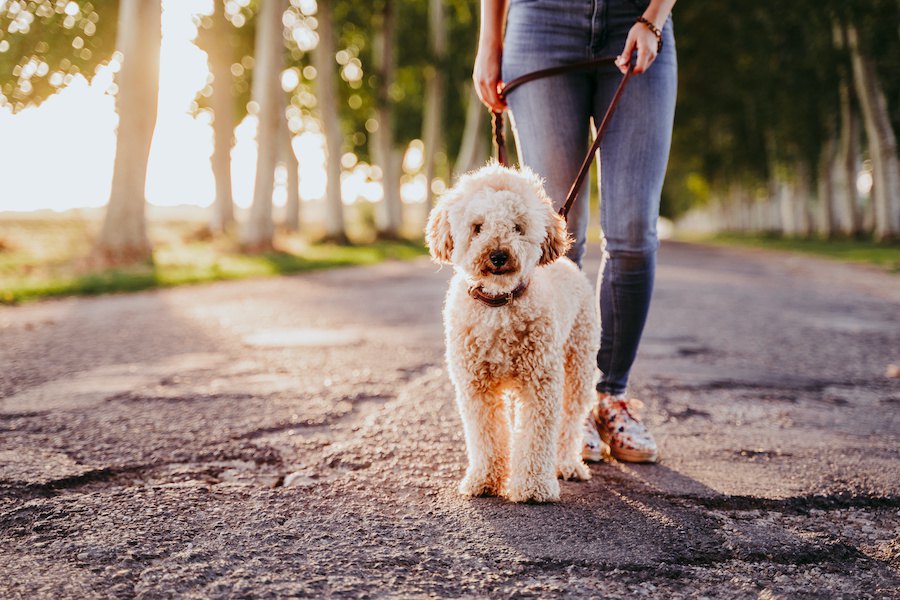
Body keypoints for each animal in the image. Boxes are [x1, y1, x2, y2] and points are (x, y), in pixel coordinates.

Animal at [428, 163, 600, 502]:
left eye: (518, 227)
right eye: (478, 227)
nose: (498, 255)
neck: (499, 304)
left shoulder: (540, 383)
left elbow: (535, 435)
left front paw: (533, 486)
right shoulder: (475, 386)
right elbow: (486, 435)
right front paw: (484, 479)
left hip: (578, 365)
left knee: (570, 420)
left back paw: (567, 464)